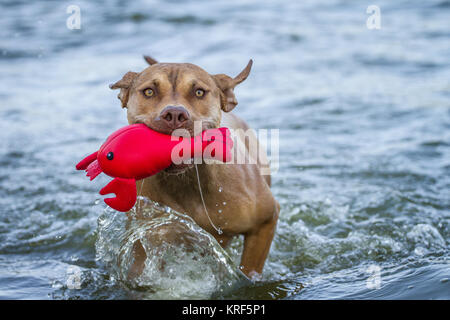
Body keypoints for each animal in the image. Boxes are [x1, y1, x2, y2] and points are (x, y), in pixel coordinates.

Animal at [110, 56, 278, 278]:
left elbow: (250, 269)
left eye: (199, 92)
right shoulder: (149, 239)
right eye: (149, 92)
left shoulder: (265, 221)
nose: (174, 113)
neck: (188, 182)